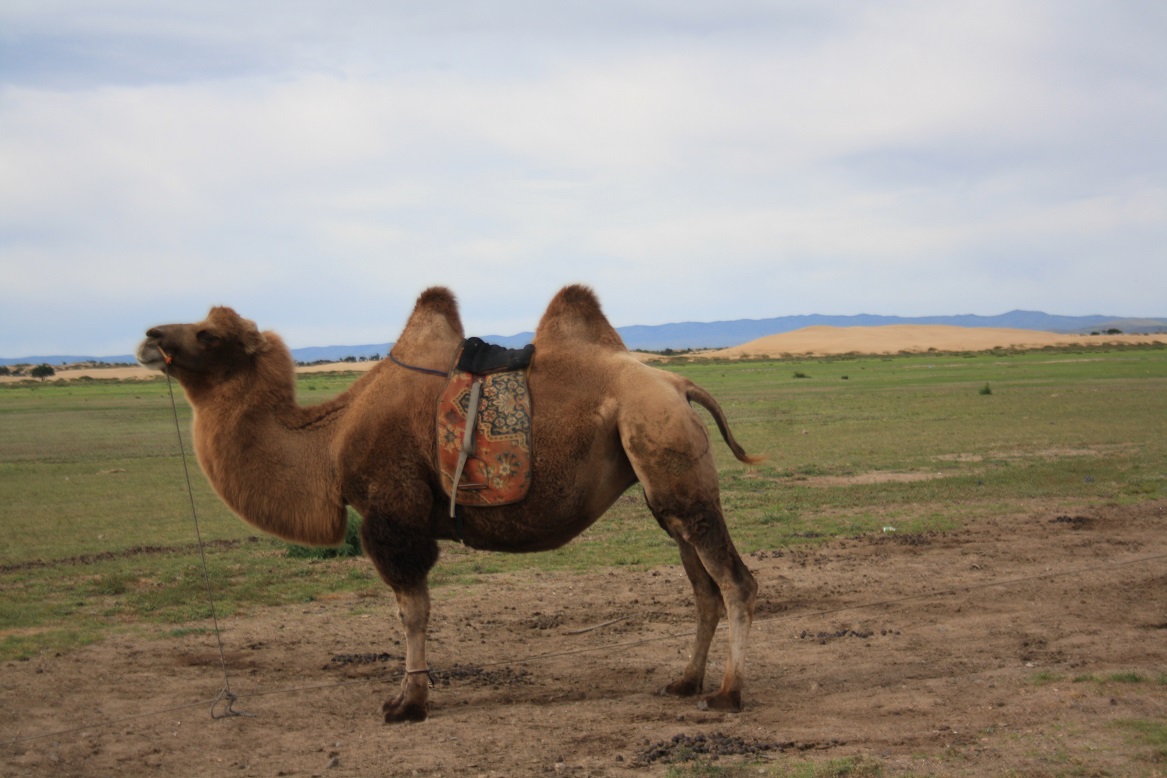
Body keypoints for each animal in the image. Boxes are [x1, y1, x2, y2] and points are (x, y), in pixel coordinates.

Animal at [137, 285, 761, 722]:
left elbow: (412, 611)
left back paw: (728, 694)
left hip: (665, 448)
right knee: (702, 584)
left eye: (208, 335)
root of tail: (680, 384)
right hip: (664, 485)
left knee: (735, 580)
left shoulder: (393, 514)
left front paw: (406, 704)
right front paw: (409, 698)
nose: (150, 336)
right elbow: (413, 611)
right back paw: (684, 682)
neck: (329, 441)